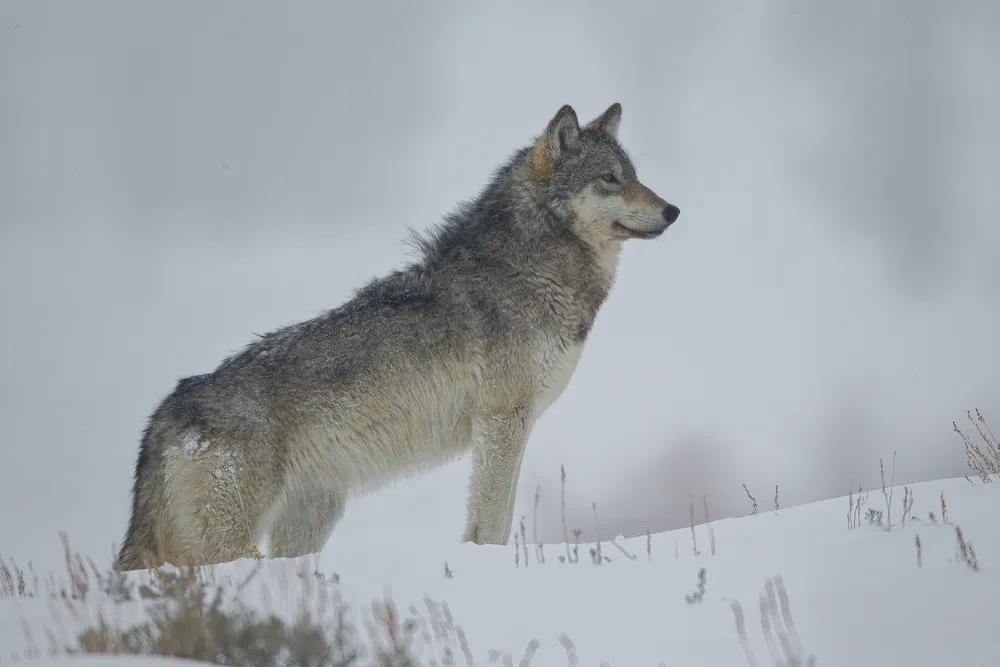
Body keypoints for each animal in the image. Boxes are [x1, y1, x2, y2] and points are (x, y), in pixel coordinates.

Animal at [115, 102, 680, 572]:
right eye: (609, 180)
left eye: (635, 176)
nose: (673, 211)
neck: (529, 270)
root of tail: (165, 412)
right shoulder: (502, 420)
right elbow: (492, 522)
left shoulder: (510, 424)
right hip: (231, 543)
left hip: (310, 519)